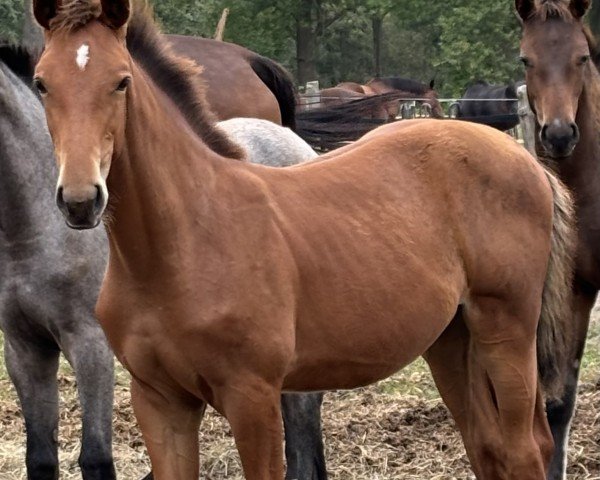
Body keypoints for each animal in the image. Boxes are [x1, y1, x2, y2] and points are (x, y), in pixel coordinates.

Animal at [34, 0, 576, 480]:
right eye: (41, 83)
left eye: (121, 80)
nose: (80, 200)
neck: (182, 242)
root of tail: (523, 157)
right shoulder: (160, 401)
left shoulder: (252, 396)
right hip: (451, 338)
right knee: (488, 446)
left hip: (506, 330)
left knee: (525, 450)